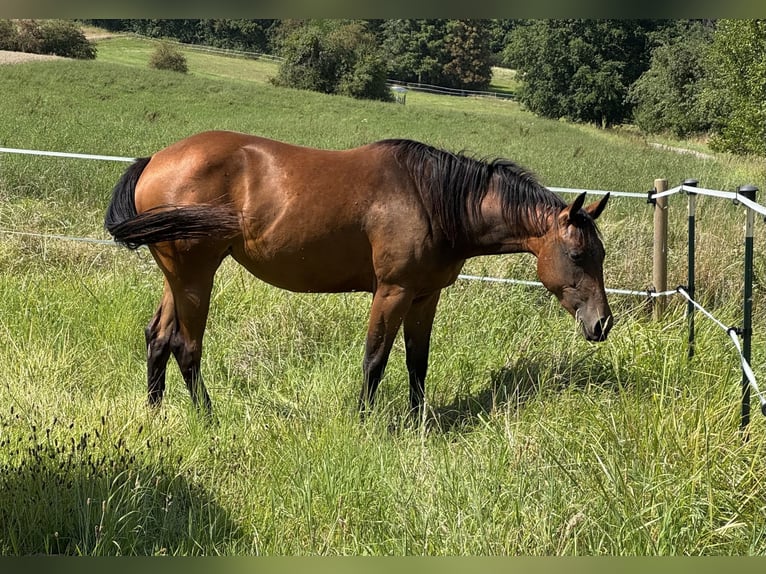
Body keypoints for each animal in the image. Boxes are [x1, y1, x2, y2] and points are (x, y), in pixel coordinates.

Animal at [105, 130, 613, 418]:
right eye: (577, 254)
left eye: (601, 255)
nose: (603, 324)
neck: (432, 199)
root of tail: (154, 160)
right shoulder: (392, 292)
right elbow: (375, 360)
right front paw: (365, 423)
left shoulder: (425, 296)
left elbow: (417, 362)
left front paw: (418, 423)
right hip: (196, 276)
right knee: (186, 347)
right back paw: (209, 418)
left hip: (178, 277)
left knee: (159, 337)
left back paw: (154, 412)